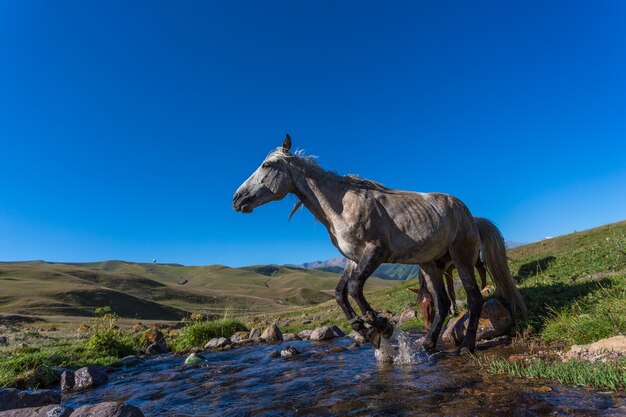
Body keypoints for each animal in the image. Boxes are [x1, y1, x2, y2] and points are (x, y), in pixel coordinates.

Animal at [232, 136, 524, 352]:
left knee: (474, 298)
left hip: (461, 257)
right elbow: (340, 293)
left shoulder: (376, 251)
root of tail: (471, 217)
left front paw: (381, 326)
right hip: (429, 264)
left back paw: (467, 345)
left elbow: (354, 287)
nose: (237, 199)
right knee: (441, 302)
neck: (340, 205)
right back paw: (429, 344)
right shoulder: (353, 258)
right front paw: (367, 331)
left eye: (267, 165)